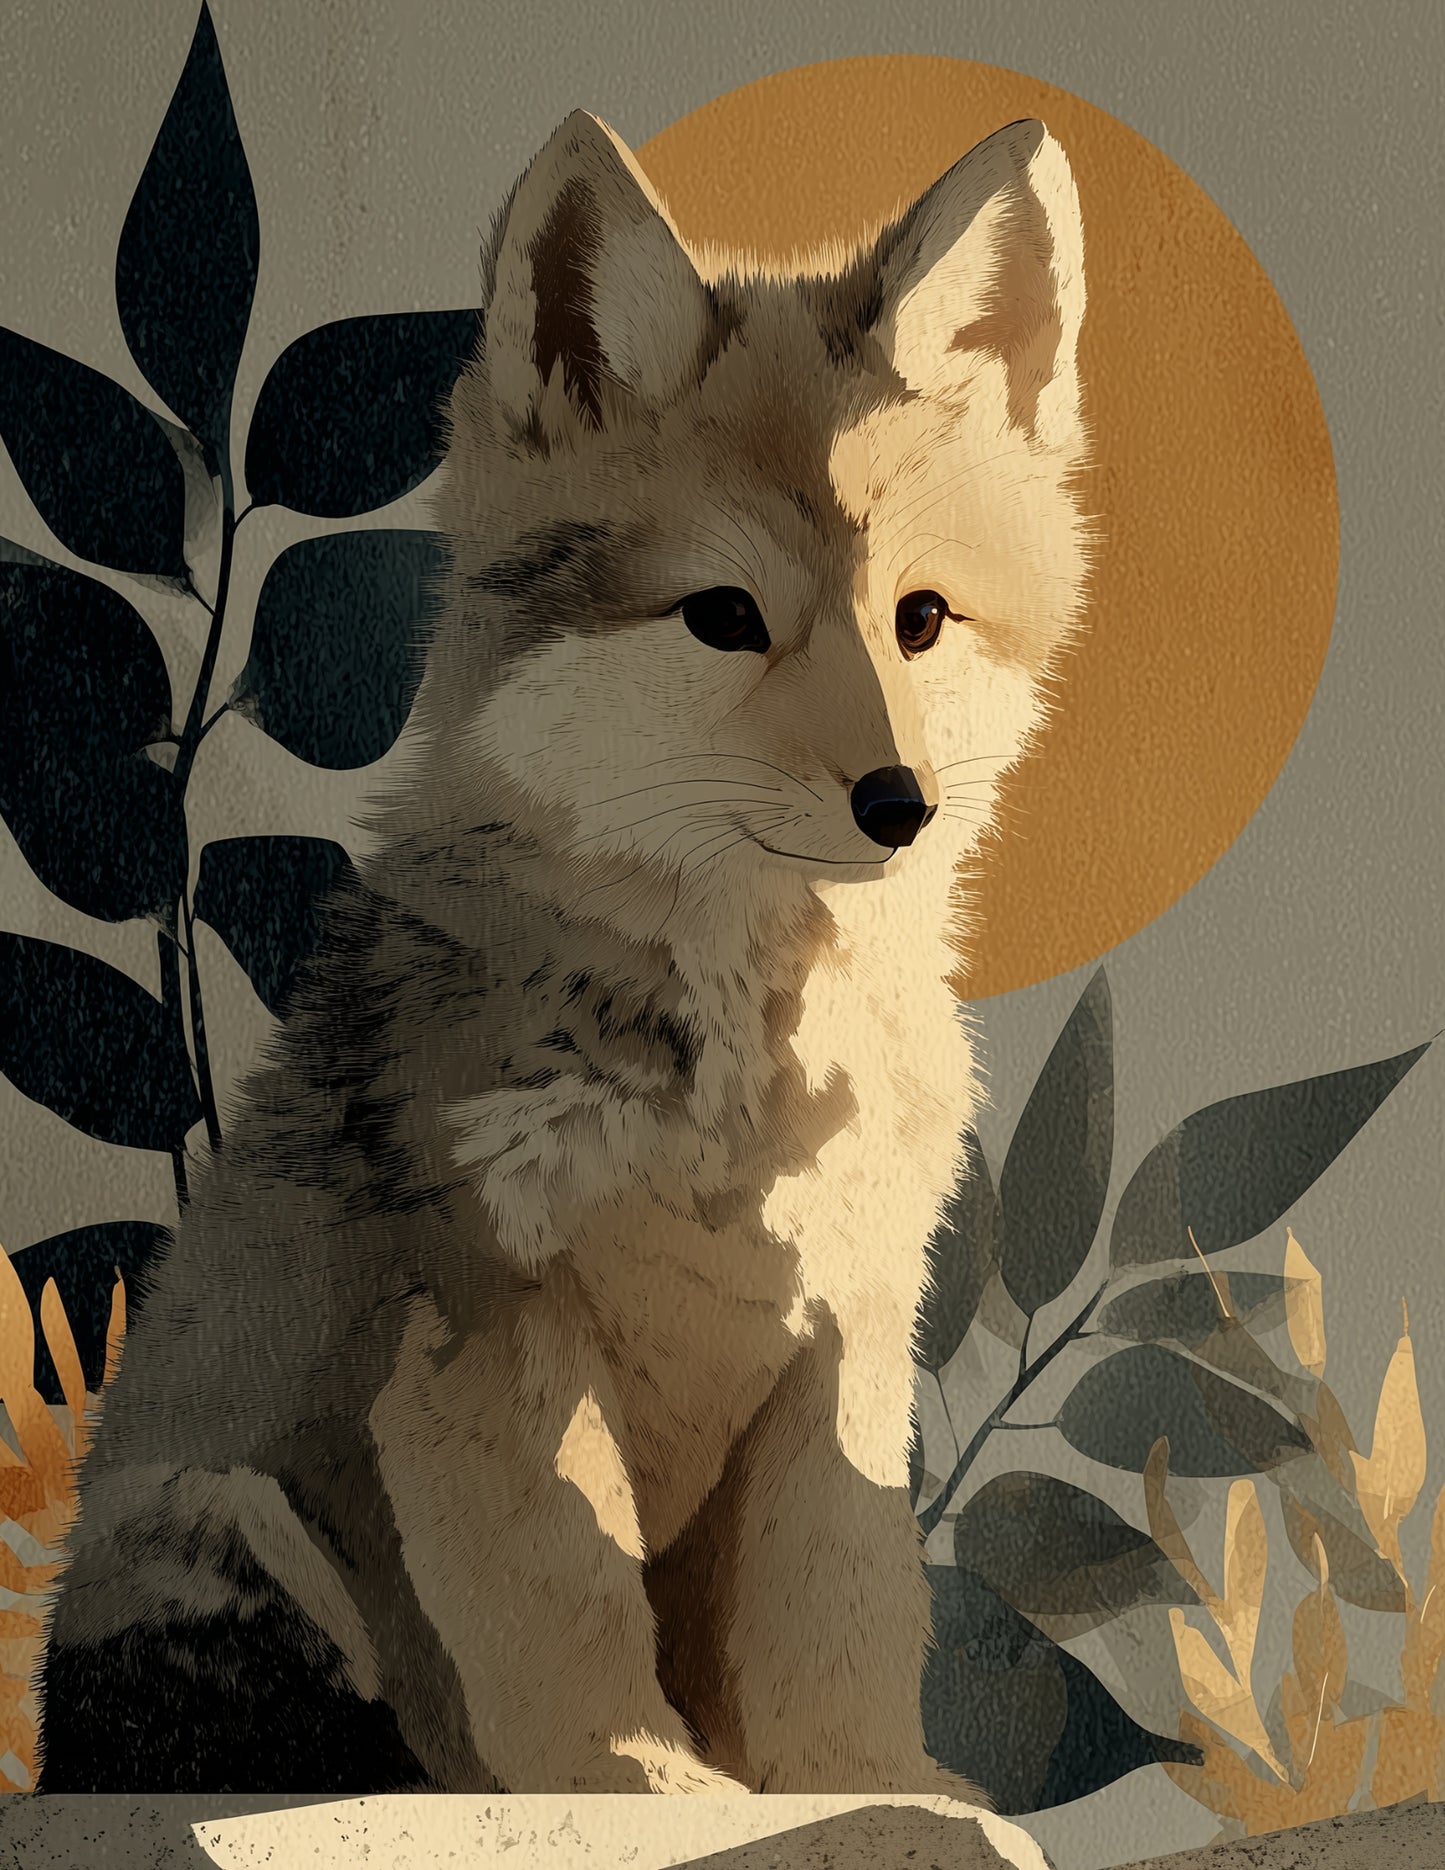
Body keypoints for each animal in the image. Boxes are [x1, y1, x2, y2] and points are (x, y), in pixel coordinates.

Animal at [34, 108, 1090, 1800]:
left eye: (921, 618)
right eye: (723, 616)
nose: (898, 804)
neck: (739, 1078)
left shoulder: (841, 1349)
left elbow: (840, 1615)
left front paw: (866, 1786)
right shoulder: (494, 1333)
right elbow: (568, 1605)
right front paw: (645, 1787)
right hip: (224, 1517)